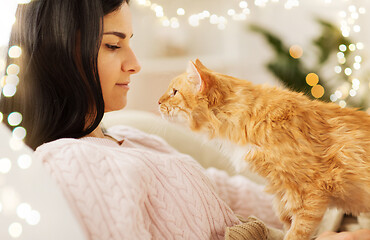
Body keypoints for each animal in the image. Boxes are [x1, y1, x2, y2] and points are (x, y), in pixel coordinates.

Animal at [158, 59, 370, 239]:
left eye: (174, 92)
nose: (158, 102)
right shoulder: (283, 193)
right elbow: (286, 224)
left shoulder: (311, 190)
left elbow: (297, 232)